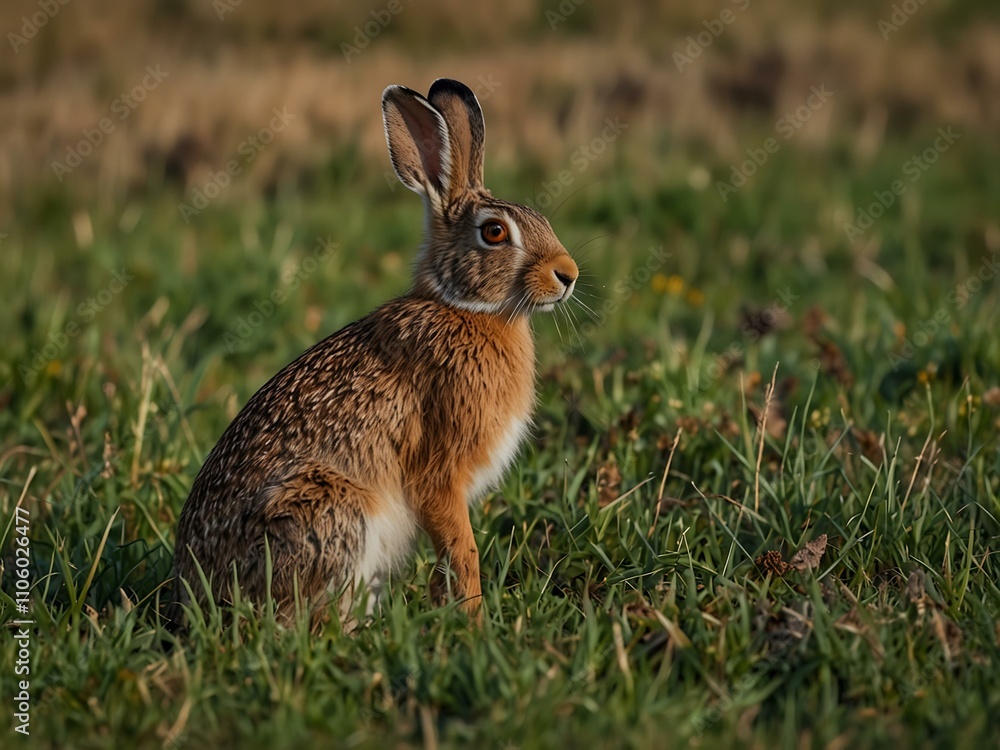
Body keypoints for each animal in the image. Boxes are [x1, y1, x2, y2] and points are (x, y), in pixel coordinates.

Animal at [171, 78, 578, 629]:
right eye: (494, 232)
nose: (568, 274)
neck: (464, 307)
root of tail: (193, 597)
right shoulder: (438, 474)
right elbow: (462, 549)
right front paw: (475, 621)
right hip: (330, 509)